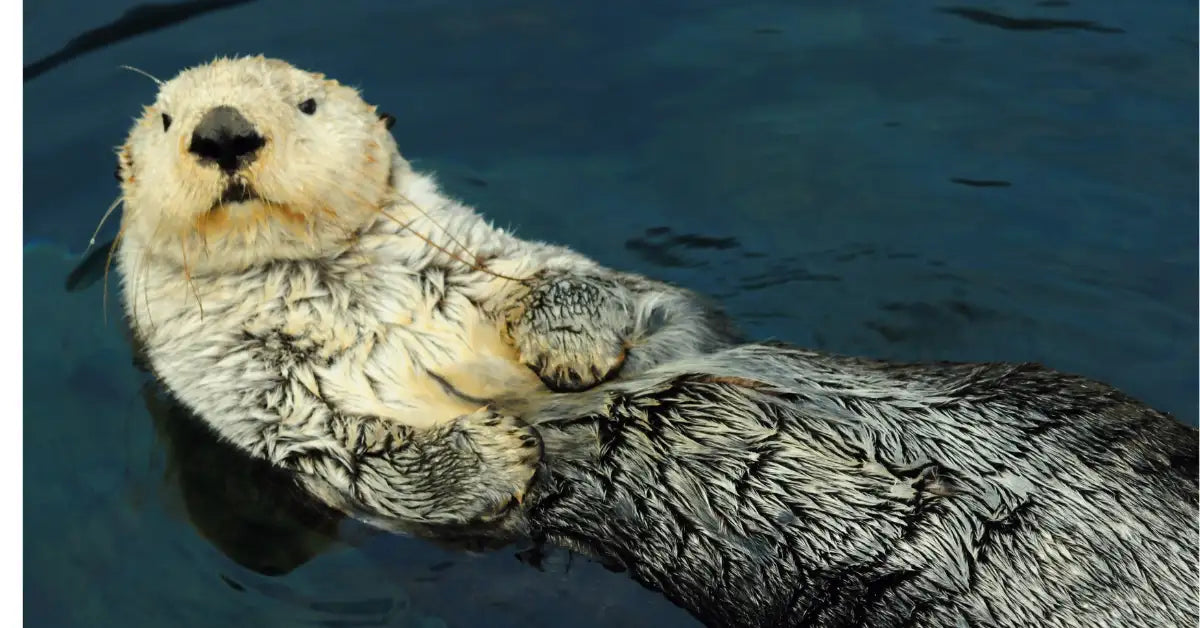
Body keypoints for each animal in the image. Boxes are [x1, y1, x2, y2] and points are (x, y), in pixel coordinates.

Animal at [112, 55, 734, 536]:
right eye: (166, 119)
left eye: (307, 104)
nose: (222, 132)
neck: (340, 292)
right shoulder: (243, 384)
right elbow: (339, 446)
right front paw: (494, 457)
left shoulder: (475, 255)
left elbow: (571, 277)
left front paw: (569, 346)